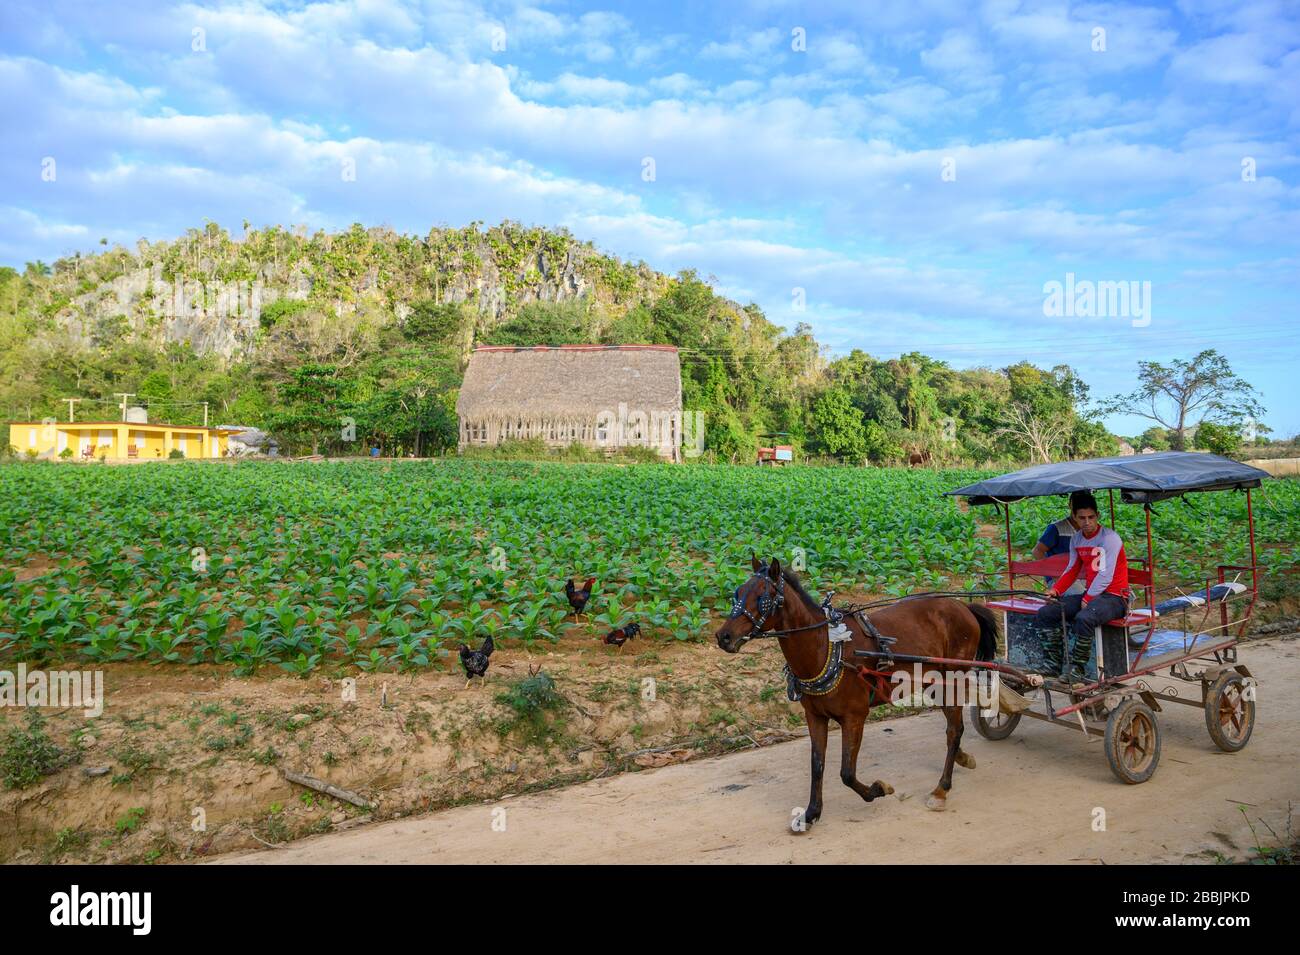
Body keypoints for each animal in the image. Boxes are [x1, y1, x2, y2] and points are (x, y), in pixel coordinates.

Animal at [717, 556, 998, 826]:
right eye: (737, 592)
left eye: (762, 597)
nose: (723, 636)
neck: (825, 648)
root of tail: (963, 607)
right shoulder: (815, 717)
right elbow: (817, 765)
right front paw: (811, 812)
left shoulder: (854, 717)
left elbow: (847, 773)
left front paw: (878, 789)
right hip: (934, 682)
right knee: (953, 725)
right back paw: (962, 758)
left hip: (954, 678)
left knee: (954, 730)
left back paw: (942, 789)